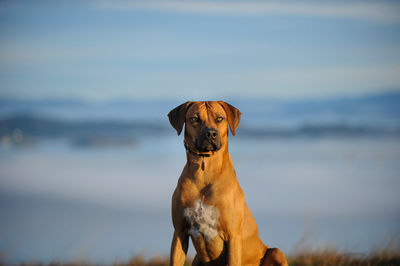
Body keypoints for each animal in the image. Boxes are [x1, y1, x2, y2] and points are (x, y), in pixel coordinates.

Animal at [168, 101, 288, 264]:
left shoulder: (233, 237)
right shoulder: (179, 233)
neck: (204, 171)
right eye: (194, 119)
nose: (211, 134)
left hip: (276, 252)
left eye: (220, 118)